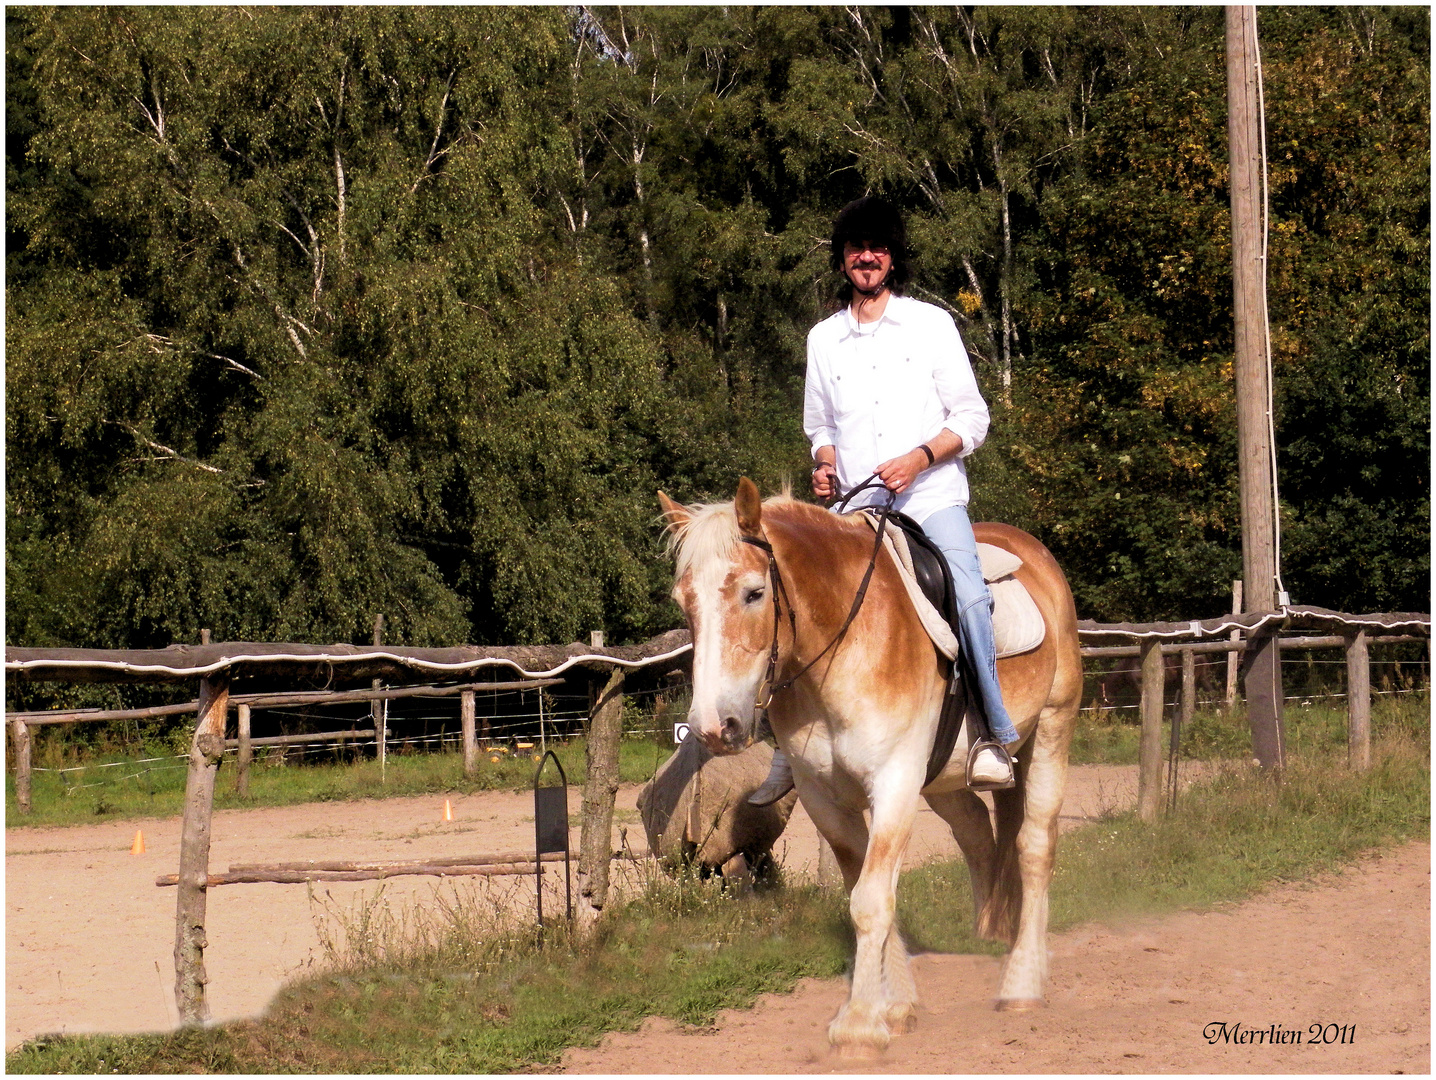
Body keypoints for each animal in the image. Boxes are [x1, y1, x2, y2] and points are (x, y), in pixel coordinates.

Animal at [657, 479, 1079, 1057]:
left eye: (753, 593)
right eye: (685, 602)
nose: (712, 727)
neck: (845, 642)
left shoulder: (894, 783)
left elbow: (872, 901)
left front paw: (859, 1024)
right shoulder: (824, 799)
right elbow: (869, 893)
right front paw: (895, 1007)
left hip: (1052, 731)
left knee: (1034, 848)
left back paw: (1021, 985)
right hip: (943, 782)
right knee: (977, 833)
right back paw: (988, 932)